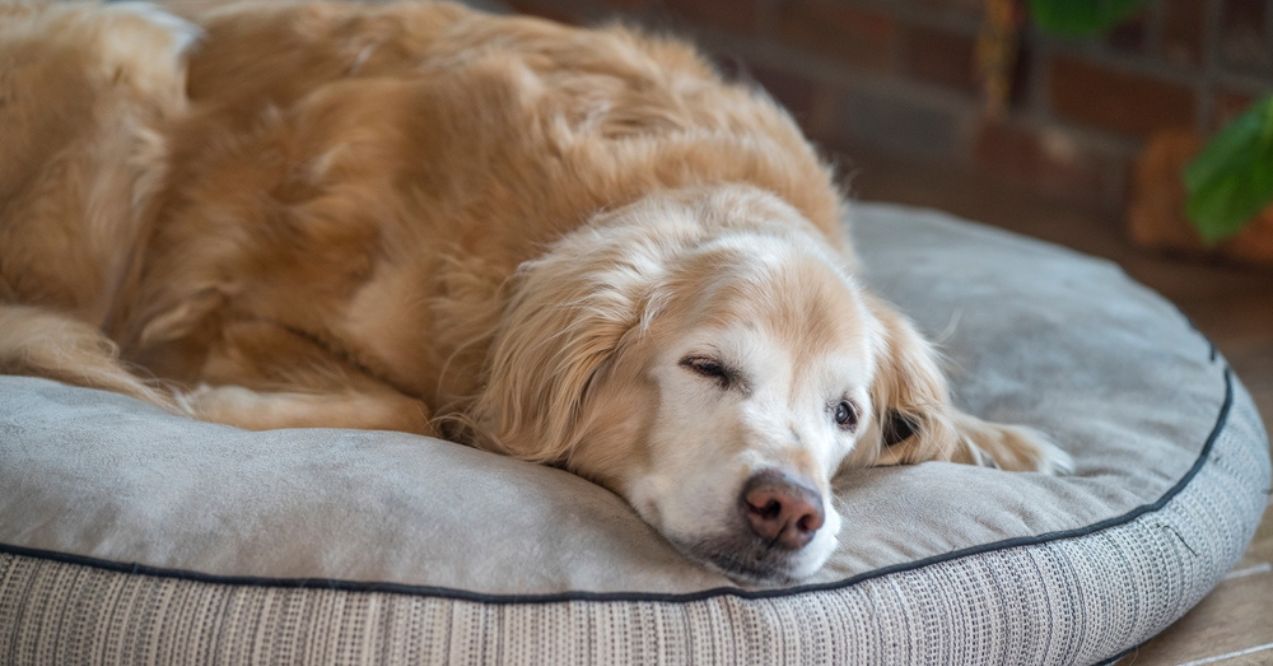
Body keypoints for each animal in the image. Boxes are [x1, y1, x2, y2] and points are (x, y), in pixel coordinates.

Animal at [4, 0, 1069, 583]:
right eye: (706, 367)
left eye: (845, 413)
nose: (789, 510)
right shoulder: (219, 303)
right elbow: (403, 408)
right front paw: (206, 400)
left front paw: (1005, 440)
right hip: (132, 59)